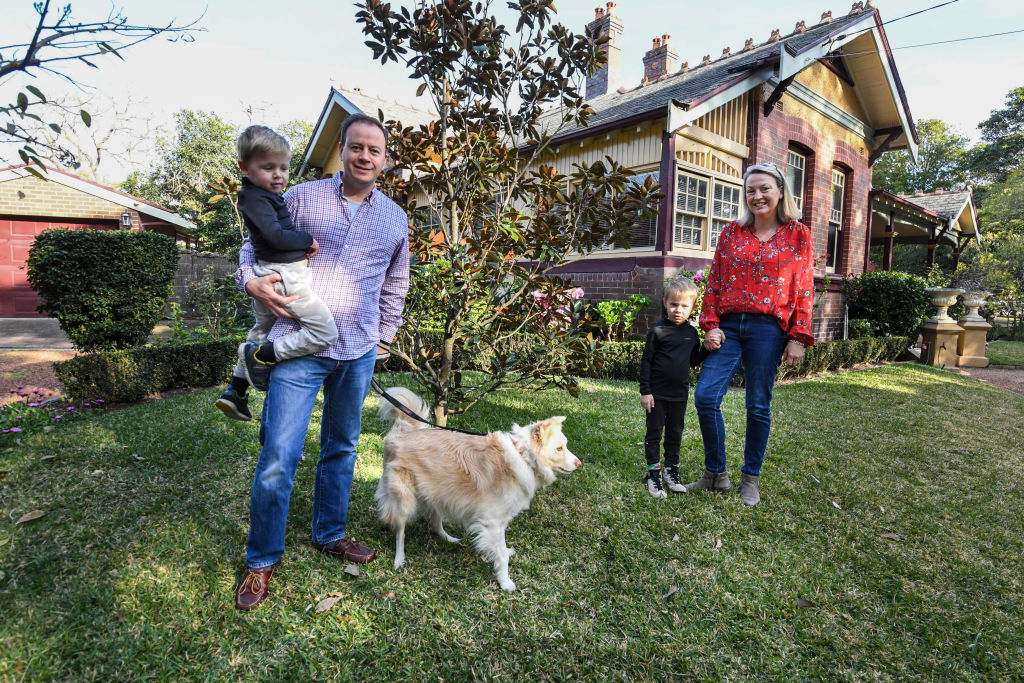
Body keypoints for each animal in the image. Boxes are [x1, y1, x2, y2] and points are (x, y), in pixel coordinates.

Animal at [376, 387, 585, 589]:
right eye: (559, 449)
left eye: (565, 446)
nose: (579, 463)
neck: (524, 456)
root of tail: (403, 429)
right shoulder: (493, 522)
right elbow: (501, 556)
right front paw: (505, 582)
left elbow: (501, 550)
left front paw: (505, 558)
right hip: (402, 499)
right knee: (400, 531)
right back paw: (399, 559)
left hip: (437, 492)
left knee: (435, 522)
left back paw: (448, 538)